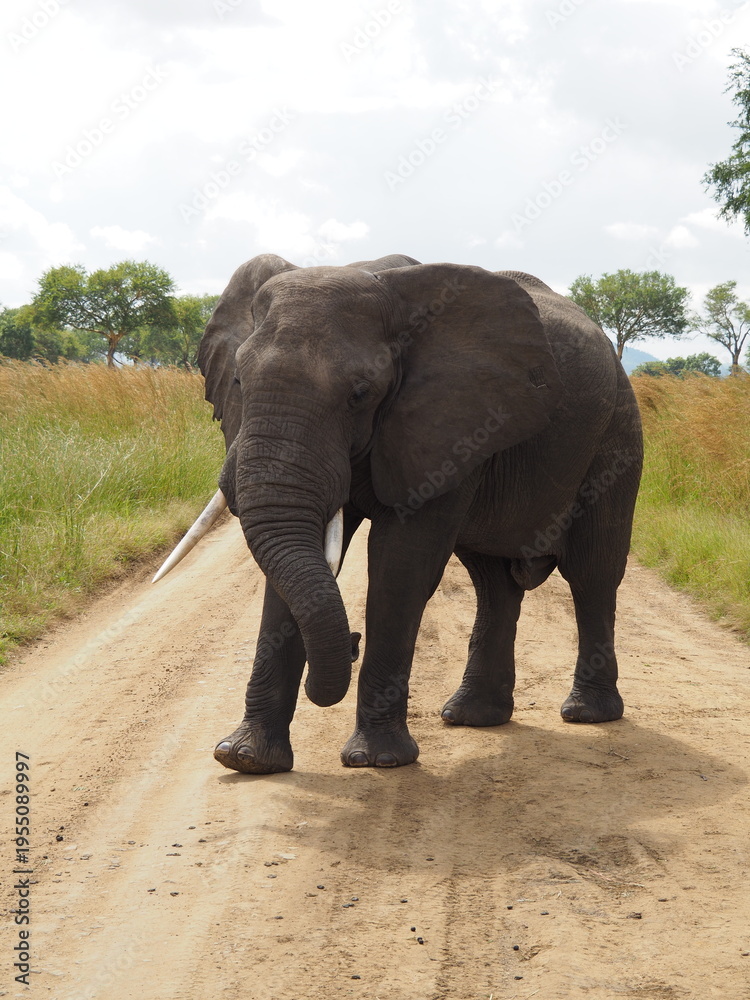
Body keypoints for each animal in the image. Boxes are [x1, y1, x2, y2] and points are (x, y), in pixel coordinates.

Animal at [154, 252, 643, 773]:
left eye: (360, 394)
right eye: (239, 382)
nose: (351, 643)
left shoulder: (450, 423)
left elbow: (400, 567)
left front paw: (376, 761)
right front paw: (244, 759)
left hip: (617, 433)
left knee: (592, 573)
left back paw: (587, 714)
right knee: (493, 582)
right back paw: (471, 717)